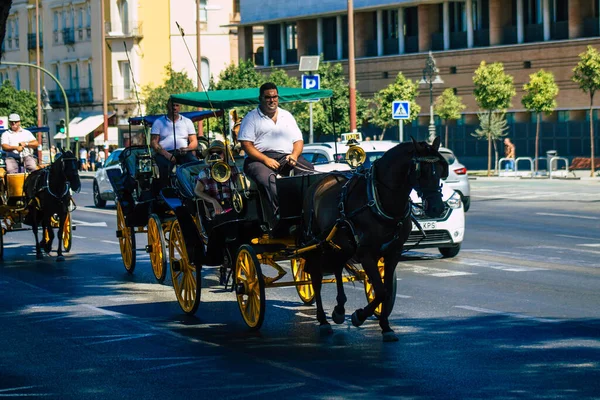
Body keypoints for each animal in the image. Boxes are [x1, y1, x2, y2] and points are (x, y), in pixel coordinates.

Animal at [302, 138, 448, 340]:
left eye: (441, 170)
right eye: (421, 171)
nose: (437, 208)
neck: (379, 201)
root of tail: (319, 181)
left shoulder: (393, 253)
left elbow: (386, 291)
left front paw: (385, 326)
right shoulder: (366, 254)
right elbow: (379, 291)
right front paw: (359, 316)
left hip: (339, 244)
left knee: (337, 267)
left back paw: (339, 309)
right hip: (317, 243)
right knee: (315, 277)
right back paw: (323, 320)